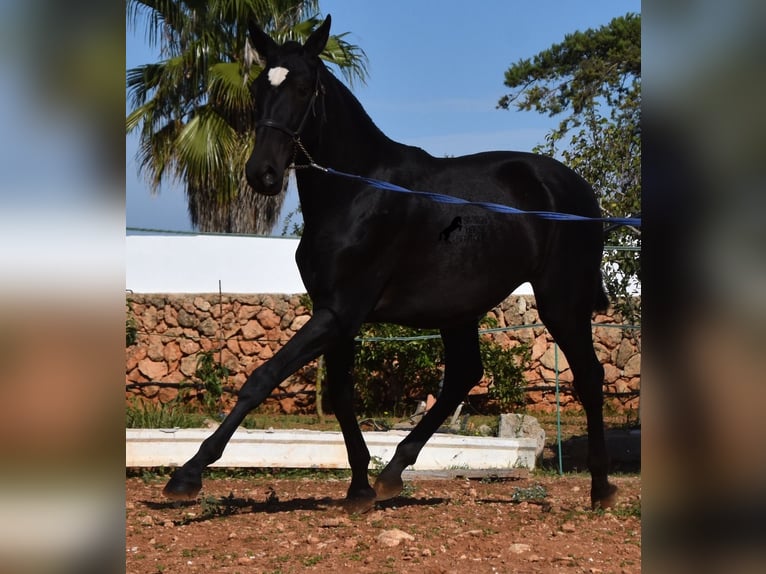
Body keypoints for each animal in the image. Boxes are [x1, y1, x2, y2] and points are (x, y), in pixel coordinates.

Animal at [165, 16, 620, 512]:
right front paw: (360, 487)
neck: (355, 192)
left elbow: (263, 376)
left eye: (304, 88)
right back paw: (392, 472)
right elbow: (340, 394)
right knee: (463, 376)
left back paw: (601, 488)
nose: (261, 174)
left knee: (589, 377)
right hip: (458, 310)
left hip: (561, 301)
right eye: (257, 88)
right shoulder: (335, 312)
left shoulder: (340, 311)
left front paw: (187, 474)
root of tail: (579, 192)